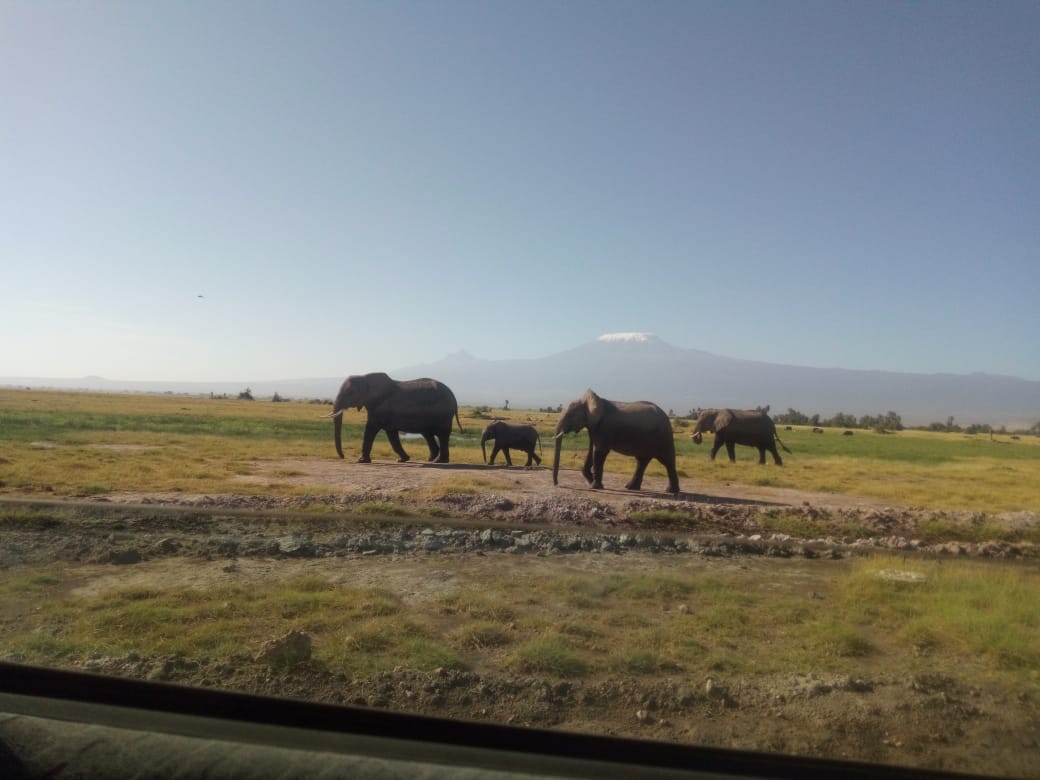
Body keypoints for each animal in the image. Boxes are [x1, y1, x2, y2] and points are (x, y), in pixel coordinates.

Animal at [330, 374, 461, 463]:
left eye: (351, 392)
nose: (343, 457)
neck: (364, 377)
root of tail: (453, 397)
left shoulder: (380, 407)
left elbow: (370, 429)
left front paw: (361, 461)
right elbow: (391, 434)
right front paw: (403, 460)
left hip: (443, 414)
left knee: (442, 435)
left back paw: (439, 461)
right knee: (428, 434)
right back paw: (430, 460)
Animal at [549, 388, 678, 495]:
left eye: (570, 415)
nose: (557, 484)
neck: (589, 401)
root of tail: (666, 417)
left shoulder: (604, 427)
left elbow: (599, 452)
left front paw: (595, 486)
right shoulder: (593, 426)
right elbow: (592, 451)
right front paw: (592, 482)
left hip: (663, 437)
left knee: (667, 461)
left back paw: (671, 491)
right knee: (642, 461)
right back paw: (630, 487)